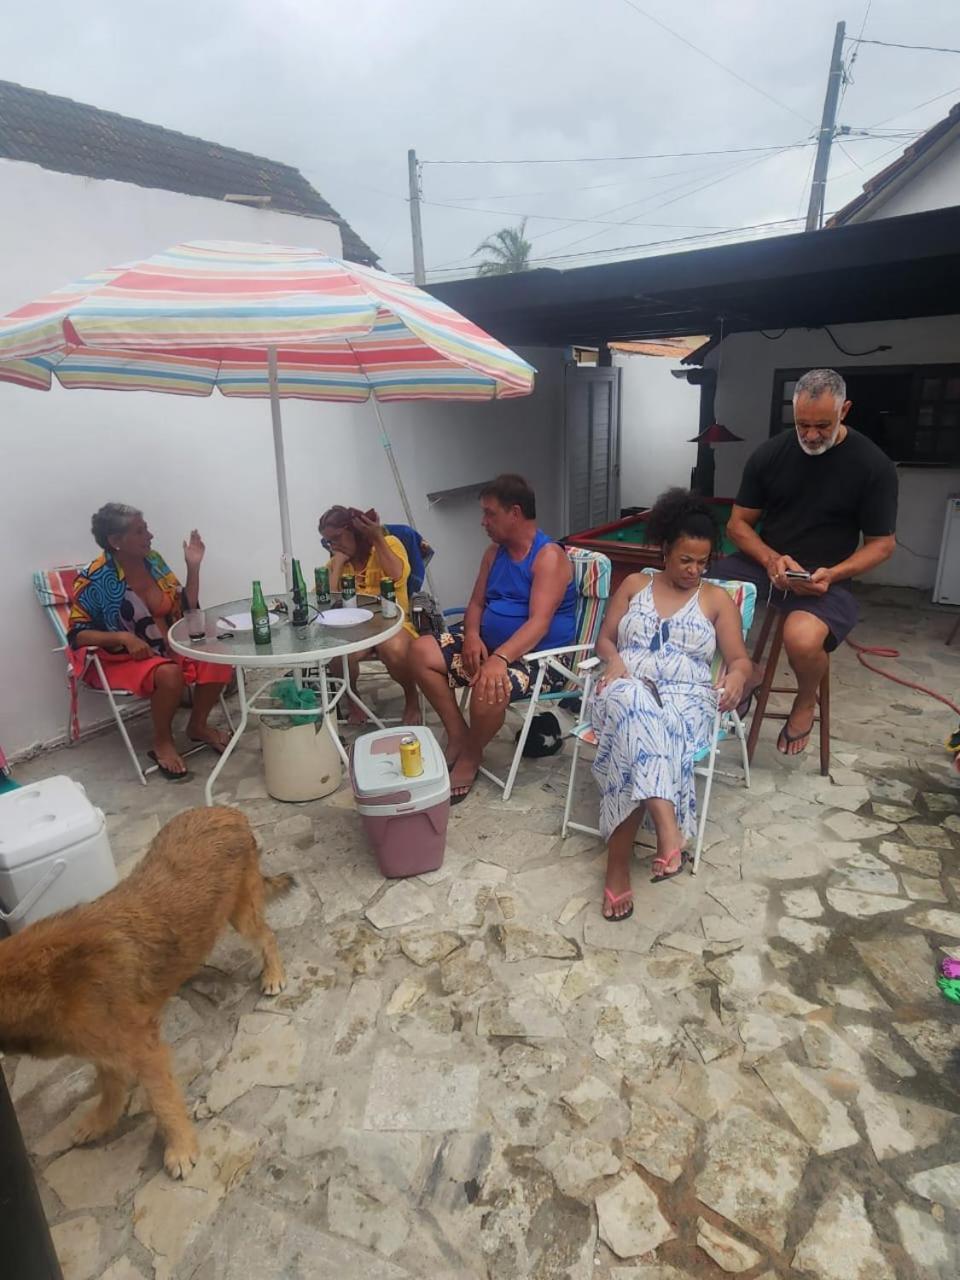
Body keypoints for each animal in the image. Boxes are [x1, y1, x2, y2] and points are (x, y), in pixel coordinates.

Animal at [0, 808, 289, 1177]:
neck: (40, 979)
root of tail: (227, 811)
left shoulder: (144, 1052)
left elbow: (162, 1101)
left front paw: (180, 1148)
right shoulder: (104, 1049)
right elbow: (110, 1090)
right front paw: (100, 1121)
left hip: (242, 913)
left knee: (266, 936)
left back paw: (274, 974)